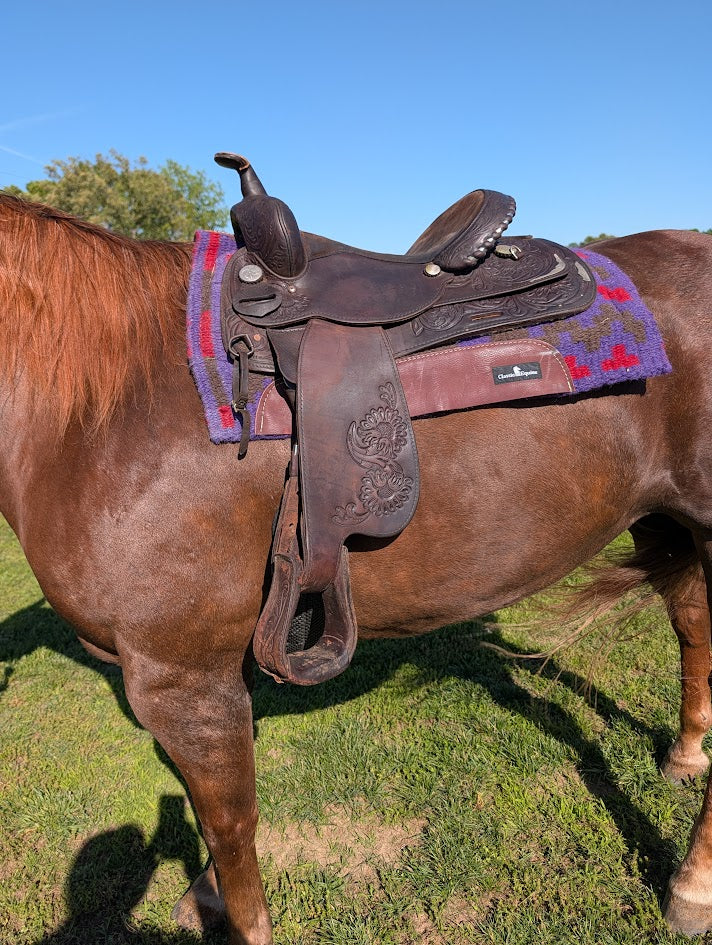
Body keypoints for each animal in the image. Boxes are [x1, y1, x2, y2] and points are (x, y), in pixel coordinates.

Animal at [1, 190, 711, 945]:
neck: (100, 413)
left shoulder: (181, 679)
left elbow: (229, 825)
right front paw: (209, 896)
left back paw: (691, 886)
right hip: (668, 518)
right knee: (694, 632)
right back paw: (685, 755)